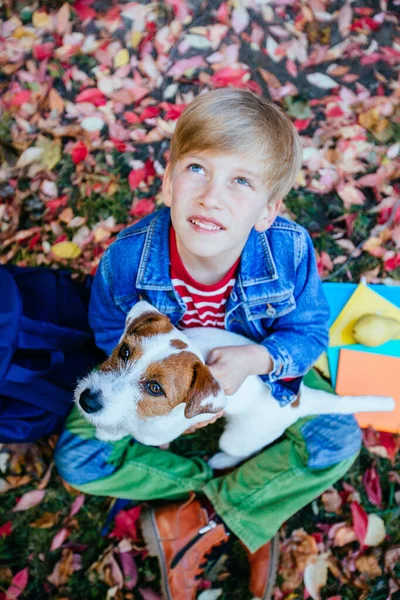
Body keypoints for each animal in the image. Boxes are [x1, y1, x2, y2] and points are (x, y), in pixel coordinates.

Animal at [74, 300, 394, 468]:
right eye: (125, 352)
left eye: (155, 388)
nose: (87, 400)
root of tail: (298, 399)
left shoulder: (156, 430)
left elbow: (137, 432)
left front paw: (111, 432)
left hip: (238, 438)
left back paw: (220, 461)